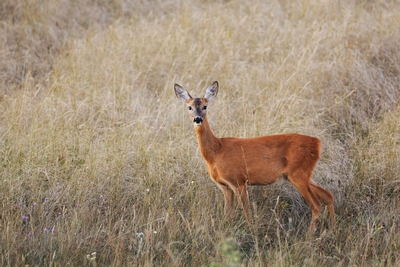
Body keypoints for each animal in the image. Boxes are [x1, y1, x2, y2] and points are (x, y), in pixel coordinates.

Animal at [174, 81, 334, 230]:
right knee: (328, 195)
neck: (216, 152)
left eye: (205, 106)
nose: (197, 119)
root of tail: (317, 143)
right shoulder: (225, 186)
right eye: (189, 107)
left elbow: (247, 212)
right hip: (303, 174)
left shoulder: (238, 180)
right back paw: (331, 230)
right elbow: (227, 215)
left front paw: (250, 231)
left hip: (298, 173)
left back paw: (310, 236)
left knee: (316, 205)